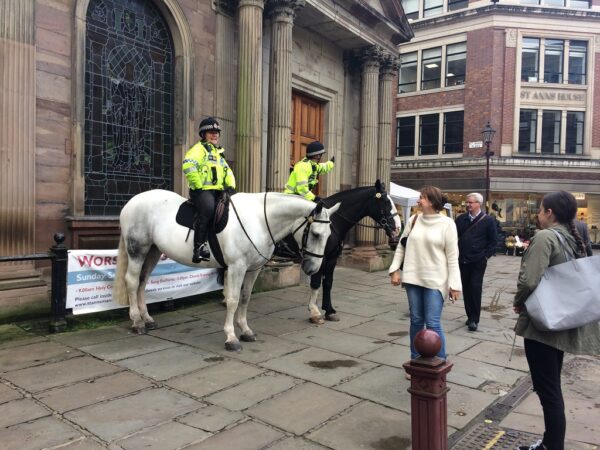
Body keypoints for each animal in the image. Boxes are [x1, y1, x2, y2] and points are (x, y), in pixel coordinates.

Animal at [112, 190, 338, 352]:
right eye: (316, 234)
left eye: (329, 235)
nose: (312, 268)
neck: (260, 220)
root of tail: (131, 203)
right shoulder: (237, 267)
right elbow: (233, 300)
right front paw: (231, 337)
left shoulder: (253, 269)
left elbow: (245, 298)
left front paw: (245, 330)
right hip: (138, 250)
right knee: (132, 281)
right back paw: (137, 322)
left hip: (153, 251)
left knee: (142, 282)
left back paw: (147, 319)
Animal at [308, 179, 400, 324]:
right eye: (386, 201)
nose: (398, 228)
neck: (333, 220)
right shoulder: (319, 257)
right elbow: (316, 282)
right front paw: (314, 312)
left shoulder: (332, 257)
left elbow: (328, 282)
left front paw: (329, 311)